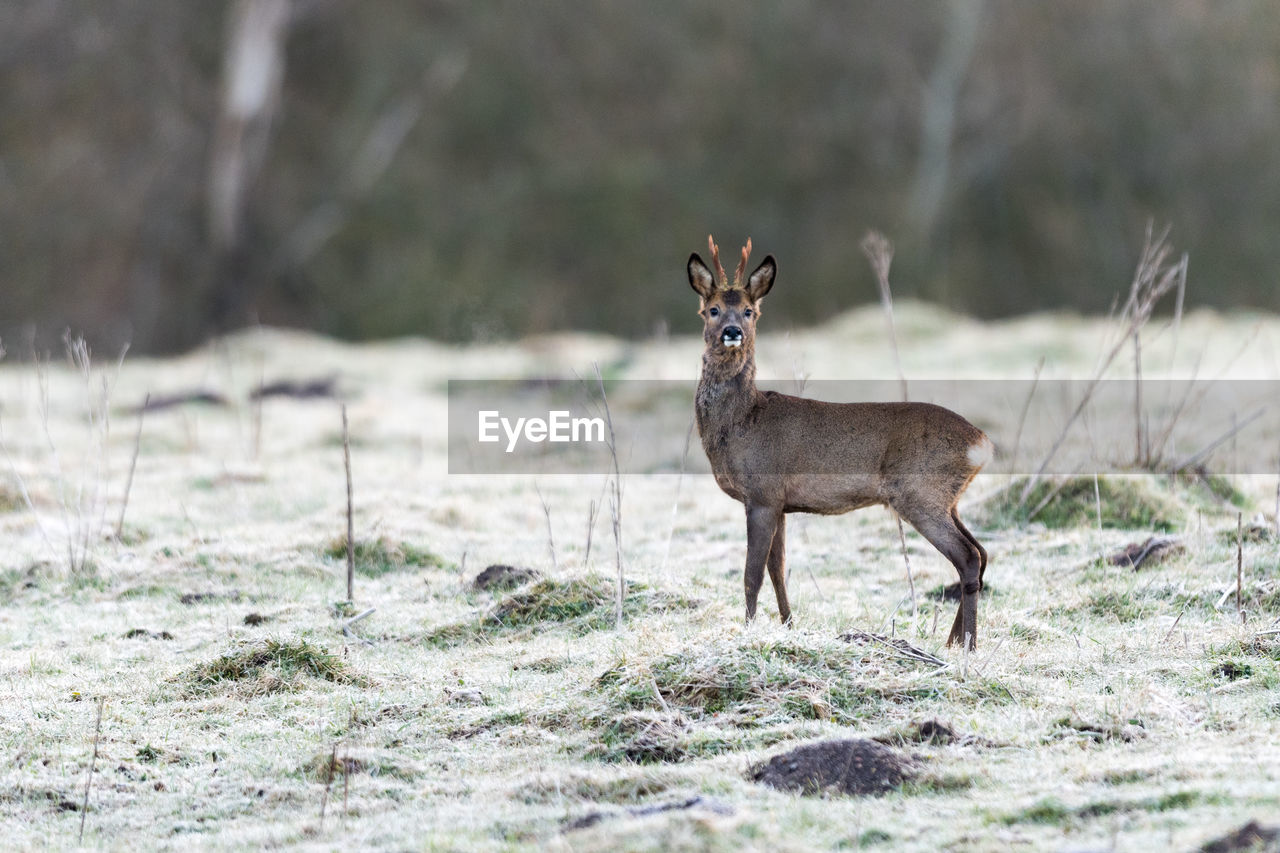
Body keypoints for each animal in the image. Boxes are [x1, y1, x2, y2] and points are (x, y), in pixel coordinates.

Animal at [686, 235, 993, 648]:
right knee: (981, 552)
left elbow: (752, 574)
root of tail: (981, 442)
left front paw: (748, 631)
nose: (732, 331)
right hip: (949, 499)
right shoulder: (781, 503)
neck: (741, 422)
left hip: (920, 492)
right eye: (712, 310)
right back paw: (953, 640)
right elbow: (778, 570)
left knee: (968, 556)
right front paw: (788, 626)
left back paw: (968, 645)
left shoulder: (762, 493)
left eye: (749, 311)